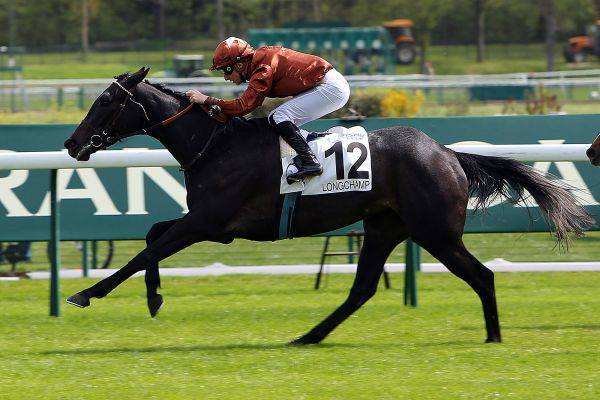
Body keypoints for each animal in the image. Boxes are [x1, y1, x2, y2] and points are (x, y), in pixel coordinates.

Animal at [64, 67, 594, 345]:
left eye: (107, 100)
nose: (70, 143)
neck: (213, 144)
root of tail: (447, 153)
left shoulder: (211, 223)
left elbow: (145, 250)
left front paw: (88, 293)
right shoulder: (209, 223)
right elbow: (152, 237)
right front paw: (154, 298)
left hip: (435, 232)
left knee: (482, 276)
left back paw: (493, 337)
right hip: (384, 227)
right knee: (361, 290)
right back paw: (308, 336)